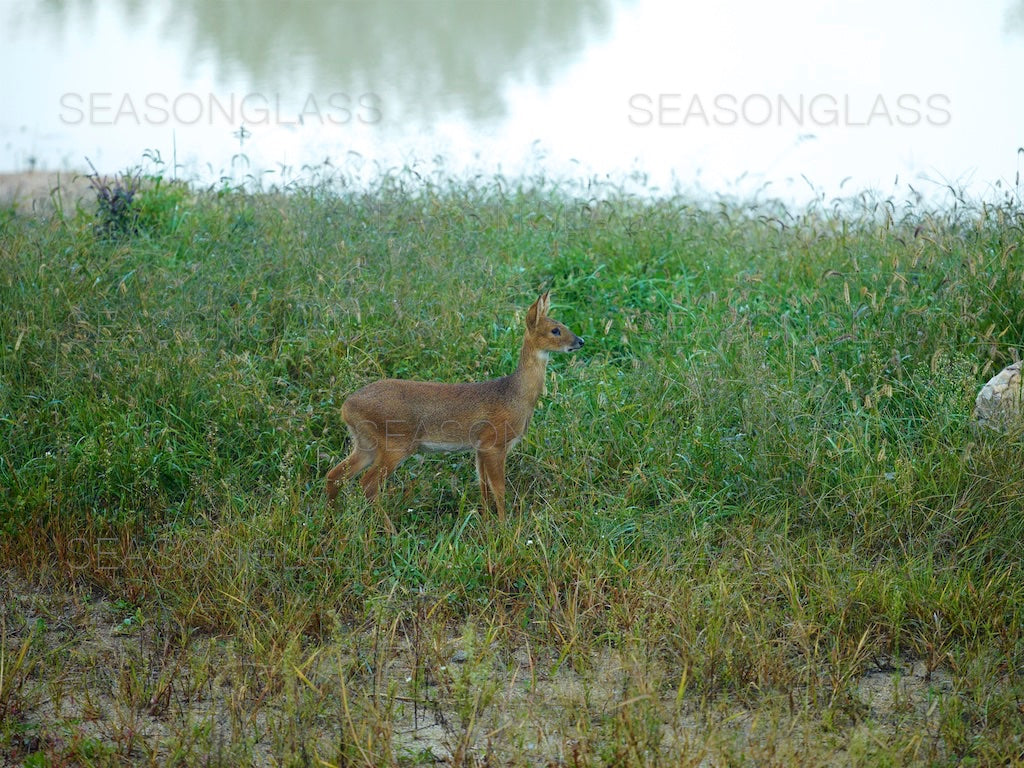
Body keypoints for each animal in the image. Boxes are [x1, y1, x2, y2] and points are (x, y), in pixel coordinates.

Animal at [327, 290, 585, 520]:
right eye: (555, 330)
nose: (581, 341)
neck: (516, 395)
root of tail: (346, 407)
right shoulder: (494, 442)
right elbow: (499, 490)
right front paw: (504, 527)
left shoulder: (479, 446)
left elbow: (483, 487)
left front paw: (486, 522)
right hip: (394, 443)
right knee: (367, 484)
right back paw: (389, 530)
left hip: (365, 442)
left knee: (335, 475)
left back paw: (332, 517)